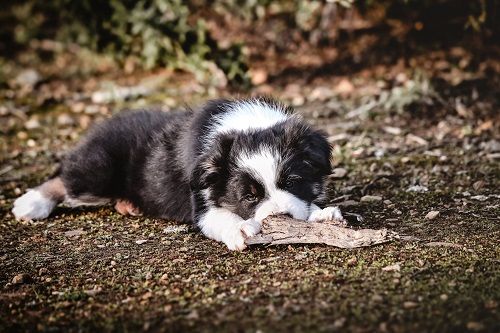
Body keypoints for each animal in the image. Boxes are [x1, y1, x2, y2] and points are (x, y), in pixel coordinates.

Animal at [13, 98, 346, 249]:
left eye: (293, 182)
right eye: (249, 197)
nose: (283, 219)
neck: (247, 125)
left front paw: (322, 215)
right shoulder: (201, 200)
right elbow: (220, 217)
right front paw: (240, 229)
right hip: (98, 168)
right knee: (64, 177)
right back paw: (31, 202)